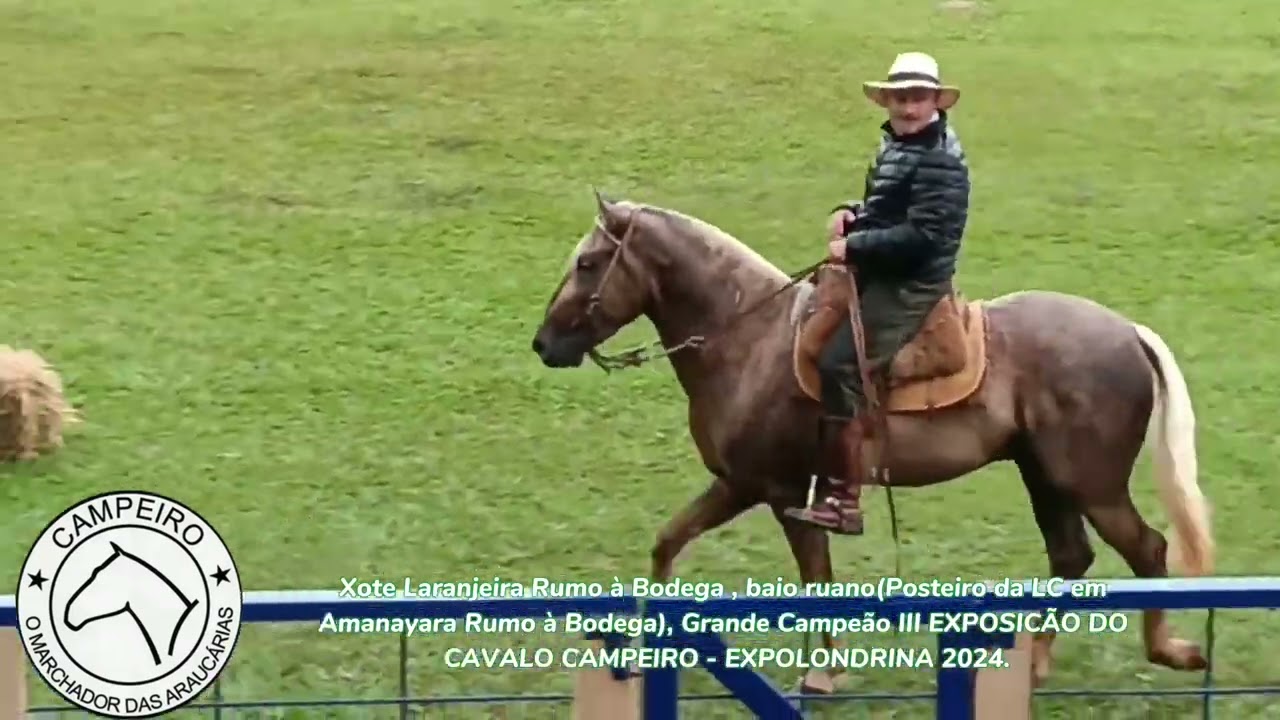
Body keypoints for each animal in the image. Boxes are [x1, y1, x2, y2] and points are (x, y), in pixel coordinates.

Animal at [530, 191, 1215, 692]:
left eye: (588, 263)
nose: (544, 344)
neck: (751, 338)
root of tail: (1127, 332)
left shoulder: (778, 491)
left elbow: (816, 581)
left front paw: (822, 674)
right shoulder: (740, 485)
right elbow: (669, 543)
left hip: (1090, 483)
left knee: (1148, 549)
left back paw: (1173, 652)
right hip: (1043, 476)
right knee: (1072, 556)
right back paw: (1037, 664)